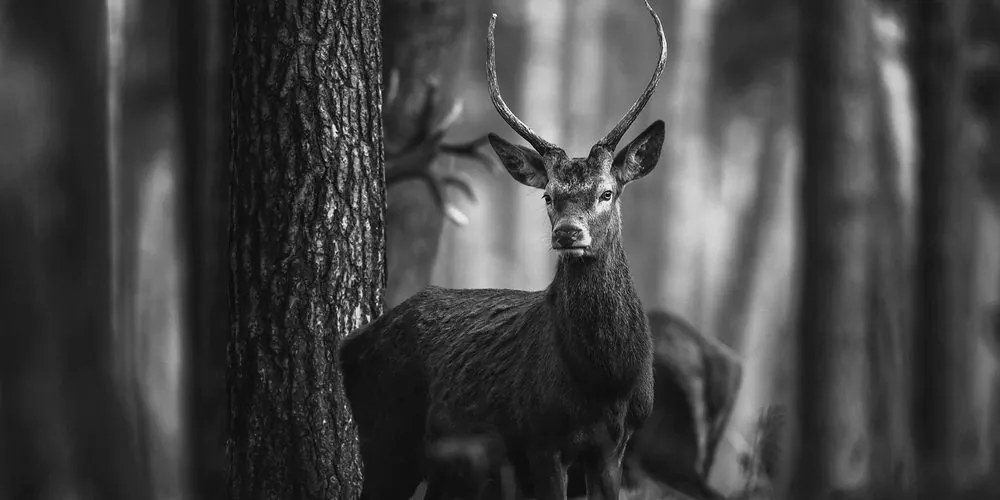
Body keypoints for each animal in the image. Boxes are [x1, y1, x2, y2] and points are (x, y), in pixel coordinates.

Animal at [340, 1, 668, 498]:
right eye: (548, 196)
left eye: (607, 192)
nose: (568, 233)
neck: (604, 378)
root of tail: (348, 345)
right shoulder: (540, 438)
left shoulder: (617, 444)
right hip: (386, 437)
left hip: (450, 467)